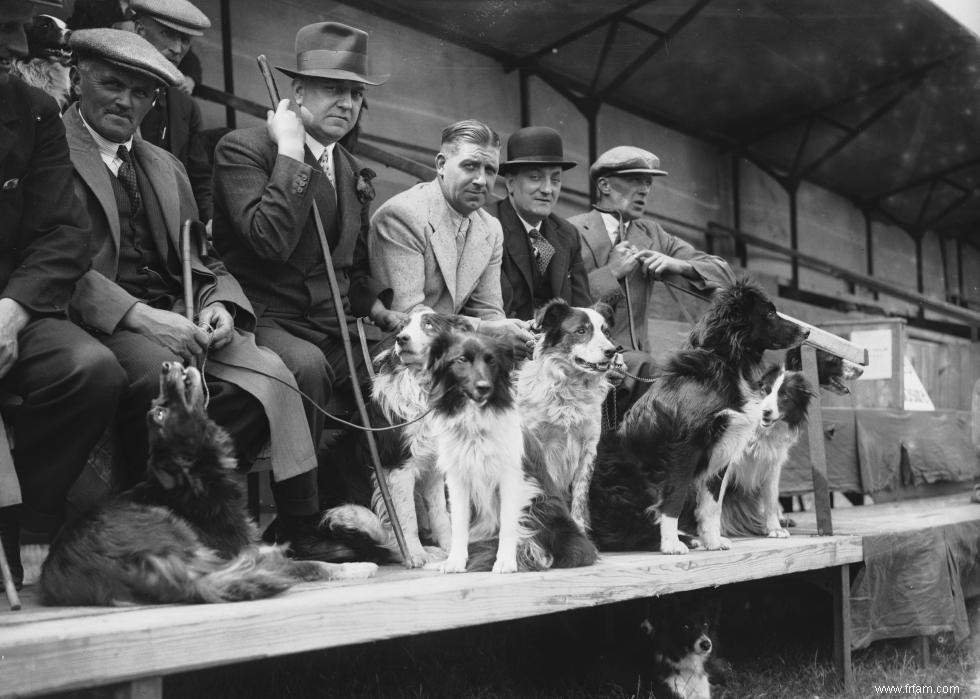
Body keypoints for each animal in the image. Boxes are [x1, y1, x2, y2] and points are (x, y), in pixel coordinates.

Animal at [40, 364, 376, 604]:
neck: (197, 475)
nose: (166, 367)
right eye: (159, 411)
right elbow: (313, 565)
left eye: (157, 403)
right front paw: (357, 567)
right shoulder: (240, 548)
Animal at [324, 312, 472, 568]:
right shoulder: (397, 467)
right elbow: (406, 517)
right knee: (377, 543)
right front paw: (415, 555)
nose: (401, 339)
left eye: (428, 324)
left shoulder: (432, 466)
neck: (422, 388)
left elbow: (440, 513)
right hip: (346, 513)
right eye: (402, 327)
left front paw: (449, 548)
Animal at [424, 328, 592, 576]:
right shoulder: (457, 478)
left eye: (491, 361)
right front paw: (455, 561)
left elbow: (508, 524)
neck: (476, 425)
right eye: (461, 359)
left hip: (542, 504)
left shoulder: (512, 478)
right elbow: (459, 524)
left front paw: (505, 561)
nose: (484, 387)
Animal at [516, 298, 616, 532]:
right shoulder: (539, 443)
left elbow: (580, 495)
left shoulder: (589, 446)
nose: (612, 351)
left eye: (606, 332)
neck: (570, 389)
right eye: (581, 331)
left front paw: (578, 527)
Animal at [588, 276, 804, 556]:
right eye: (769, 313)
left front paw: (713, 541)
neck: (724, 364)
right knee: (624, 532)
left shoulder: (723, 450)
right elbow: (674, 499)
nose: (807, 332)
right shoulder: (684, 448)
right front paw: (671, 544)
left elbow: (712, 504)